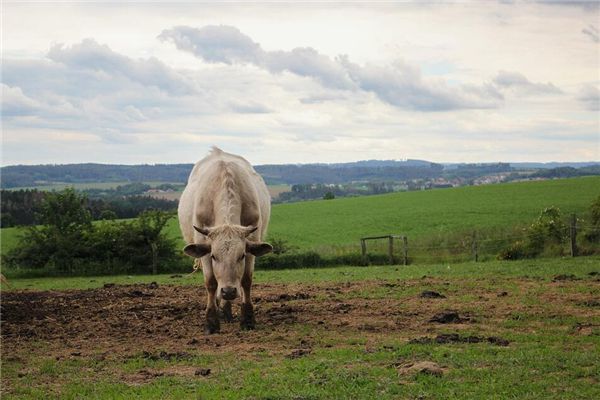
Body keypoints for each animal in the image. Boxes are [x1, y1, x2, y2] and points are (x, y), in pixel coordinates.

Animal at [178, 148, 272, 332]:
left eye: (241, 256)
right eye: (214, 256)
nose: (228, 291)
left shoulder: (253, 240)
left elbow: (246, 280)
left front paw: (247, 319)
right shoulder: (203, 245)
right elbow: (211, 283)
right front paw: (211, 321)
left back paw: (227, 311)